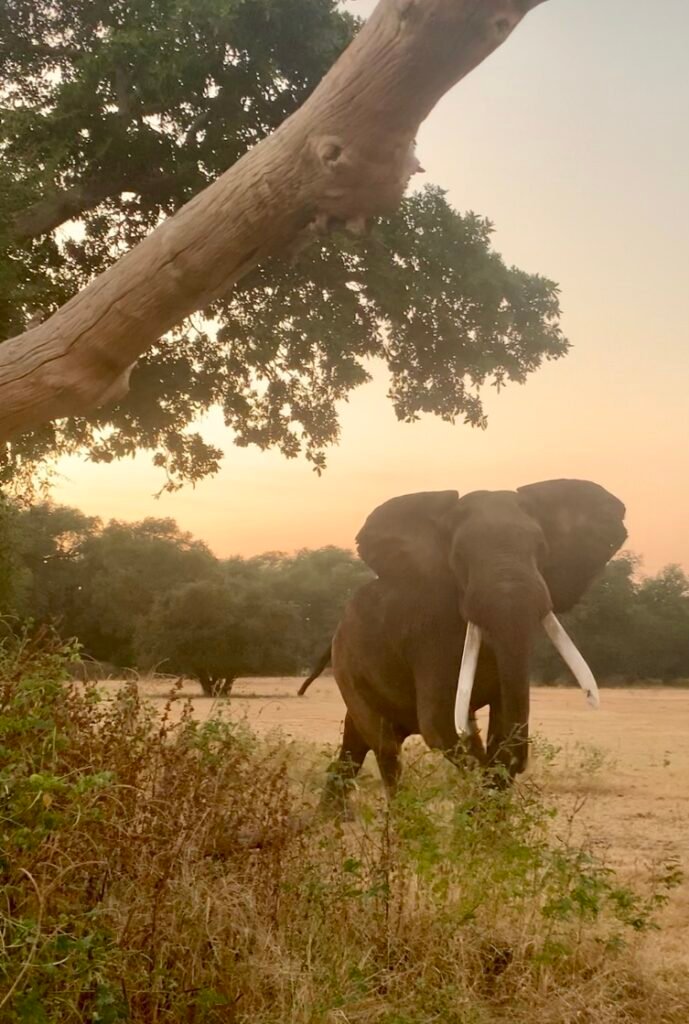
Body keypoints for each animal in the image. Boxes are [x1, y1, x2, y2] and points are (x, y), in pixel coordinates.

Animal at [300, 479, 627, 804]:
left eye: (542, 549)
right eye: (458, 557)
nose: (522, 763)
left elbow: (498, 719)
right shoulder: (429, 633)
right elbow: (440, 724)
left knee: (353, 751)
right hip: (348, 668)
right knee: (385, 748)